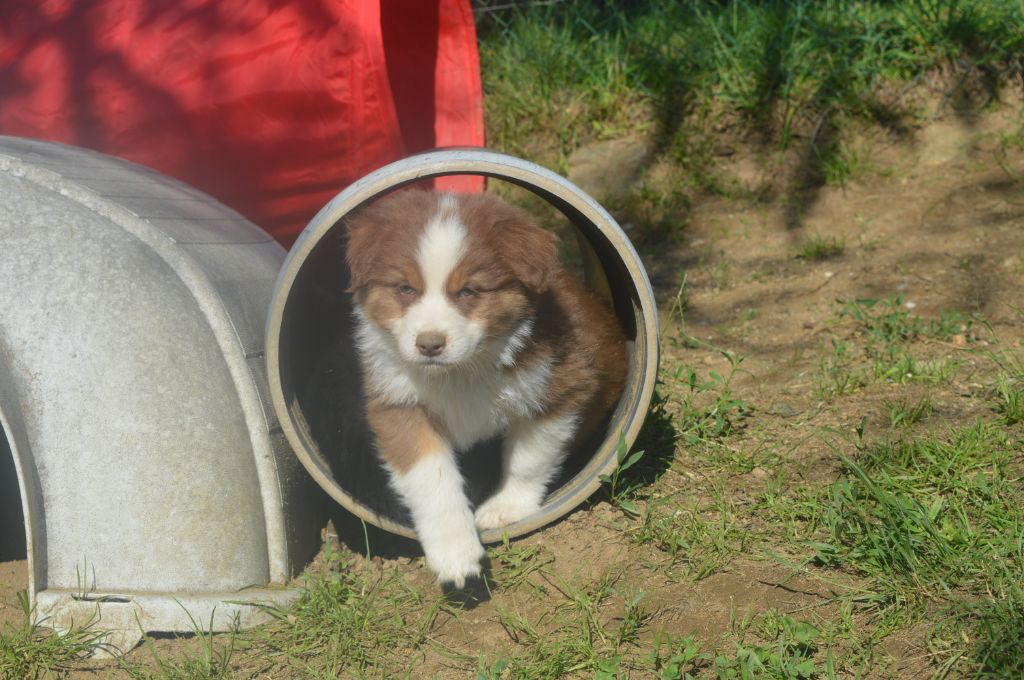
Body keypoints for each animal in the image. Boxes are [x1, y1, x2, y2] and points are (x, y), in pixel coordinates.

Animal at [344, 189, 627, 588]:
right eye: (405, 289)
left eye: (469, 291)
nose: (429, 345)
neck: (460, 373)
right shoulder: (398, 404)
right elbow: (431, 479)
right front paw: (455, 555)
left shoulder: (562, 387)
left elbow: (528, 459)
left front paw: (505, 507)